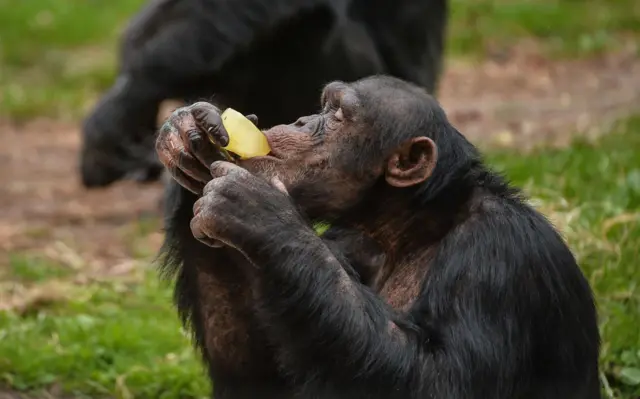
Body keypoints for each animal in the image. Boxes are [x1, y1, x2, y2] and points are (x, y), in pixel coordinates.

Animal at [154, 76, 600, 399]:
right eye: (322, 106)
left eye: (336, 114)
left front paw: (261, 213)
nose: (300, 121)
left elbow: (444, 381)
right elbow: (261, 374)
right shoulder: (337, 250)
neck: (411, 228)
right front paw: (191, 136)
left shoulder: (498, 256)